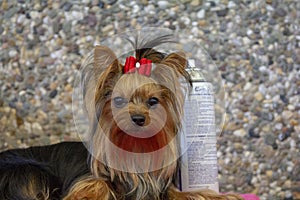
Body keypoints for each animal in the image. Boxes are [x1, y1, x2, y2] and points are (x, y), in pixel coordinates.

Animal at [0, 34, 241, 200]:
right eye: (118, 101)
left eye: (153, 101)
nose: (138, 118)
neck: (135, 151)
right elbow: (96, 185)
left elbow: (189, 194)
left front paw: (224, 196)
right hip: (28, 171)